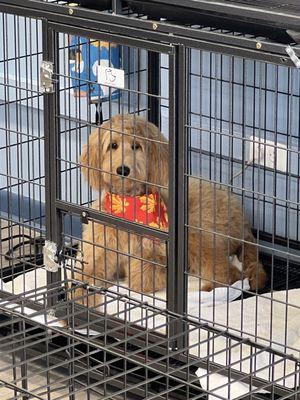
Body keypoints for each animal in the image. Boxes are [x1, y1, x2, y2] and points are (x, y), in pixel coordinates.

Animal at [76, 112, 266, 296]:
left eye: (136, 146)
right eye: (113, 145)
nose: (123, 170)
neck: (127, 206)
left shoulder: (157, 255)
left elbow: (140, 278)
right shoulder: (96, 253)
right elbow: (80, 282)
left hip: (197, 233)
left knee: (232, 274)